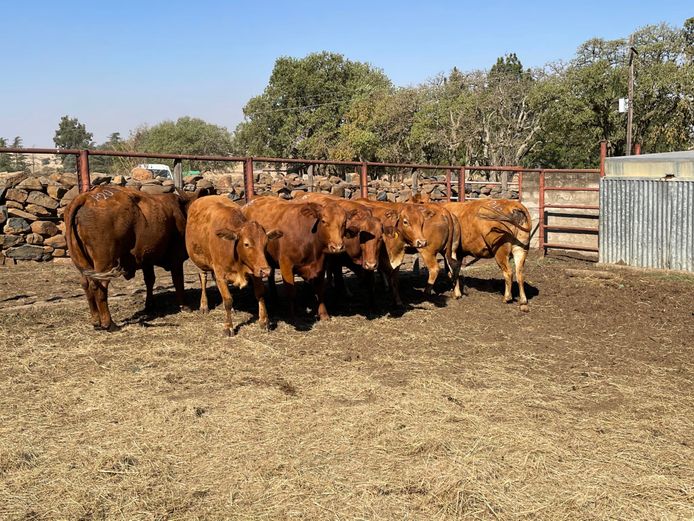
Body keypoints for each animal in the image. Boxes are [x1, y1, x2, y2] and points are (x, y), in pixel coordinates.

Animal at [65, 185, 207, 331]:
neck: (183, 210)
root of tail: (87, 196)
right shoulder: (176, 258)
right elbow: (178, 281)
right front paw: (184, 305)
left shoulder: (146, 258)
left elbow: (150, 280)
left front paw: (149, 305)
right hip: (105, 262)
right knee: (99, 286)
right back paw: (109, 323)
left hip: (83, 262)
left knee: (86, 284)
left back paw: (96, 321)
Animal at [185, 195, 283, 336]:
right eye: (246, 244)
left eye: (265, 243)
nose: (266, 271)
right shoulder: (220, 273)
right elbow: (228, 300)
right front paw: (228, 327)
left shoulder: (255, 271)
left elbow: (260, 294)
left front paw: (264, 321)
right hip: (200, 261)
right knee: (203, 278)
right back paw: (204, 305)